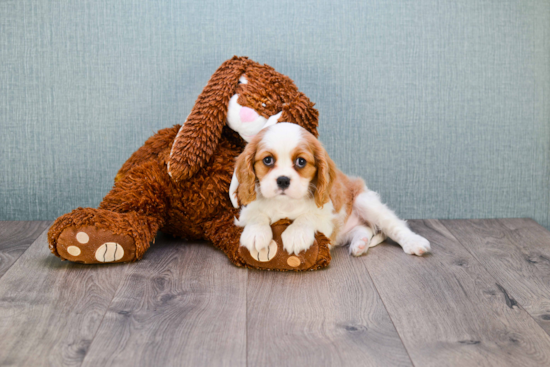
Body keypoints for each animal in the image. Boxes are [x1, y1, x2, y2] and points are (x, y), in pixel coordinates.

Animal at [233, 122, 432, 258]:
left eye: (301, 162)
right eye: (267, 160)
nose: (283, 180)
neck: (286, 204)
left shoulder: (328, 214)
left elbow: (309, 216)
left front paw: (296, 234)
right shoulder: (248, 209)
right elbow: (256, 214)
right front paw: (256, 232)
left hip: (364, 200)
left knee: (394, 225)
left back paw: (414, 242)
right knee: (364, 228)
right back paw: (360, 243)